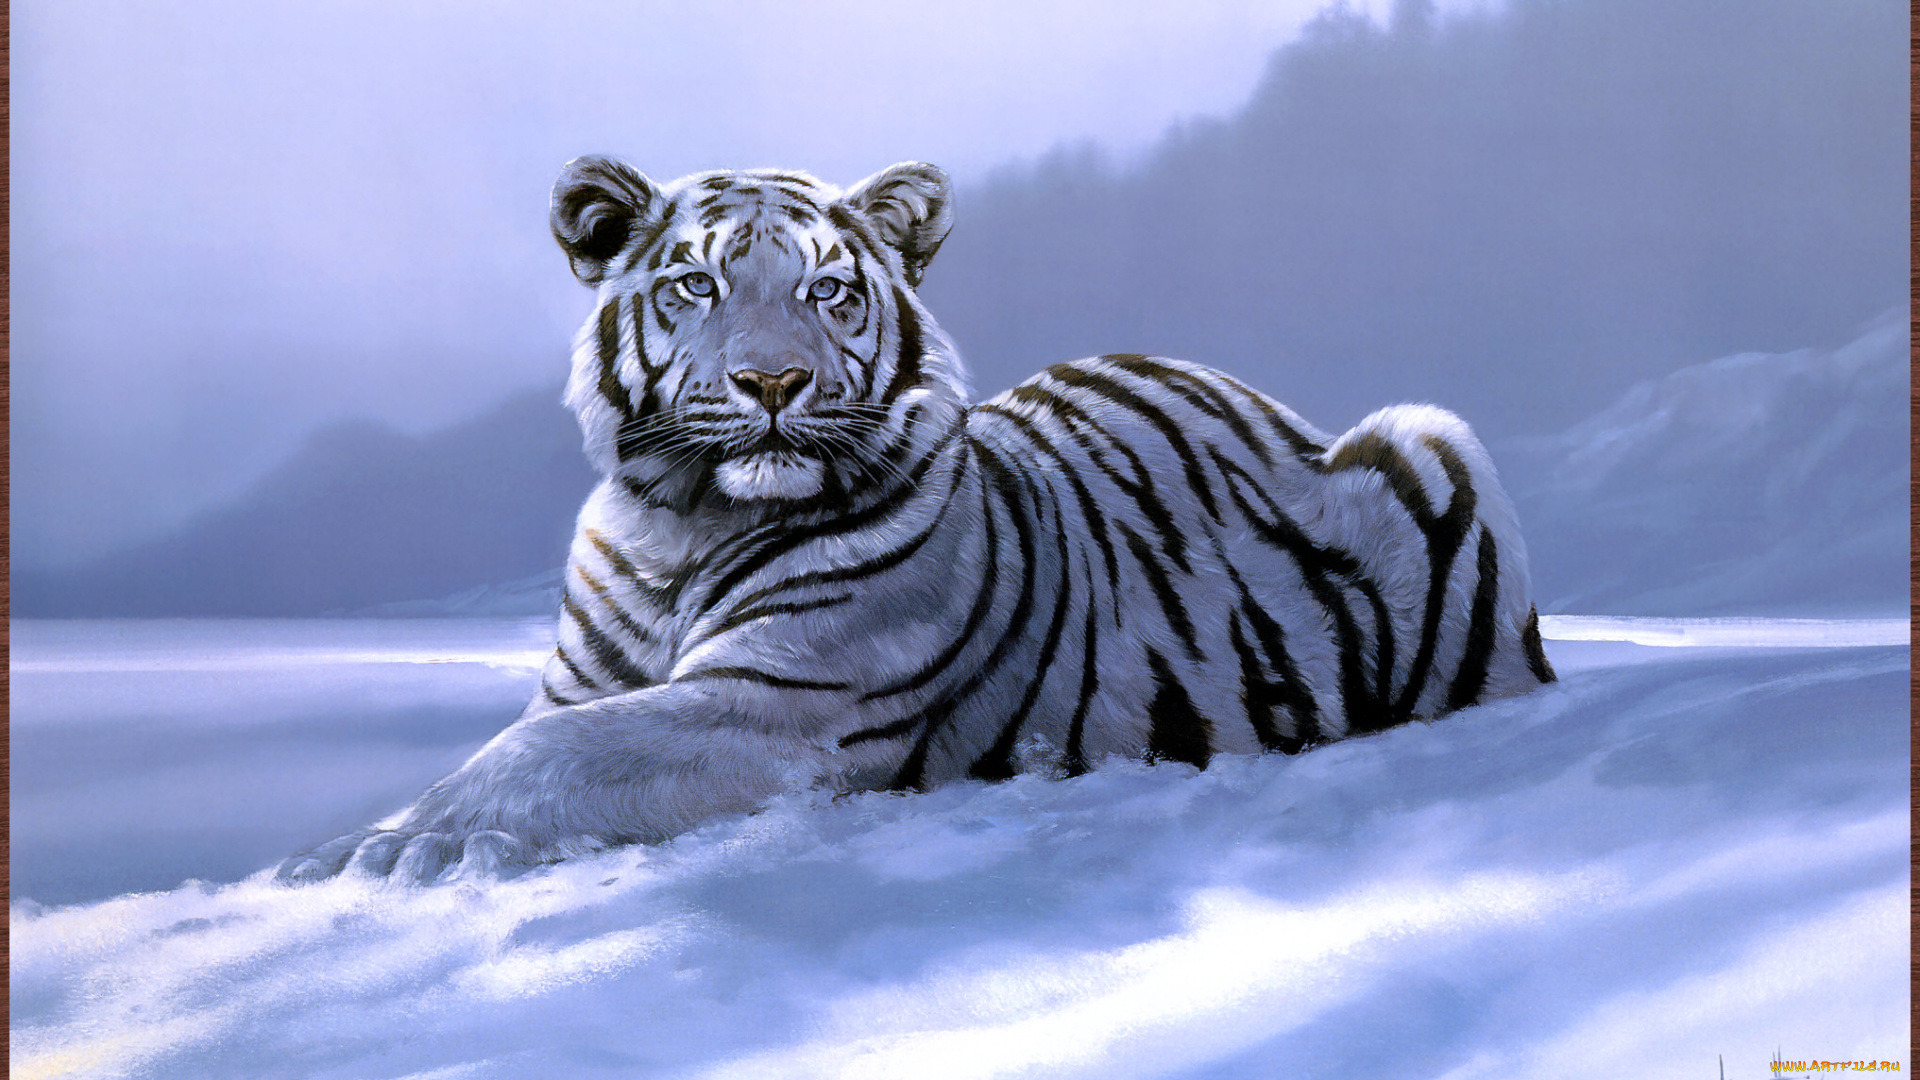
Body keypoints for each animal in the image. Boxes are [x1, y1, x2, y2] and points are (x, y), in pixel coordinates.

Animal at [280, 157, 1556, 884]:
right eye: (695, 284)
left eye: (828, 289)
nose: (773, 382)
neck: (680, 526)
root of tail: (1263, 398)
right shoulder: (588, 681)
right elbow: (533, 736)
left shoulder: (778, 704)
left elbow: (545, 755)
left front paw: (384, 848)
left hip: (1434, 438)